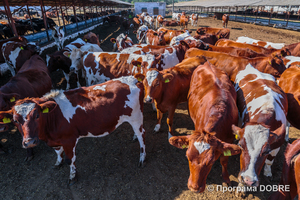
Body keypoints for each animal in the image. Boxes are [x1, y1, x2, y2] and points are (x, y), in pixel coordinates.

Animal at [0, 75, 146, 184]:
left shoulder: (69, 139)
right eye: (15, 120)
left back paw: (142, 157)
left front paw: (72, 176)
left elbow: (70, 159)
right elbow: (58, 152)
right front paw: (58, 162)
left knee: (141, 135)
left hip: (136, 116)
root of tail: (133, 79)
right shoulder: (54, 141)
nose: (29, 142)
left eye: (37, 115)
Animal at [169, 62, 241, 192]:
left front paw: (226, 178)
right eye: (187, 156)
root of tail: (207, 63)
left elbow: (224, 160)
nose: (194, 188)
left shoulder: (229, 140)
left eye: (211, 161)